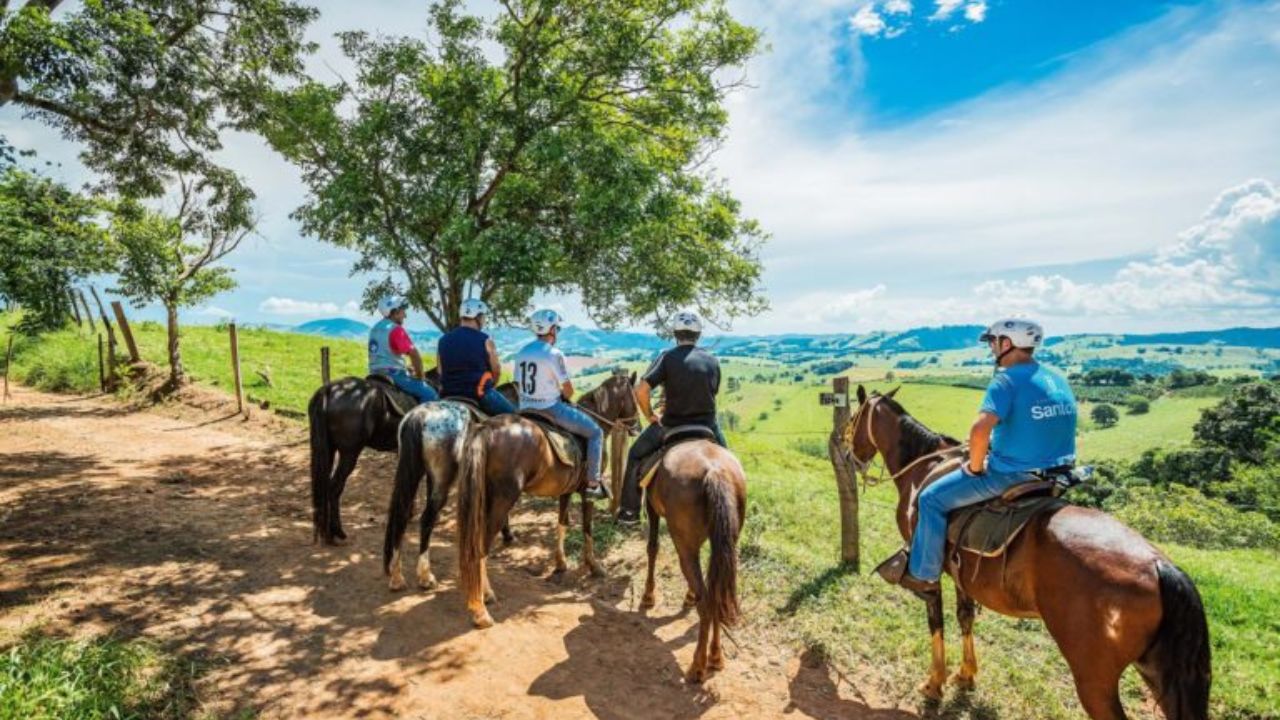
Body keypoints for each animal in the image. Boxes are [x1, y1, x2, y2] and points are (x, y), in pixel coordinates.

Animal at [378, 371, 640, 591]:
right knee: (432, 521)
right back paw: (438, 579)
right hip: (460, 483)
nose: (637, 426)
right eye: (634, 397)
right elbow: (587, 528)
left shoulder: (566, 490)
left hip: (425, 475)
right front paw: (594, 566)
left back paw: (398, 576)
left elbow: (562, 522)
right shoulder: (586, 491)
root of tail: (421, 415)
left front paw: (560, 563)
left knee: (403, 514)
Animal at [640, 435, 747, 681]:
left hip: (685, 545)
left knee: (706, 602)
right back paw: (716, 657)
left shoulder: (651, 506)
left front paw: (648, 596)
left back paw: (698, 666)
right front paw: (689, 596)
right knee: (715, 595)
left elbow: (652, 547)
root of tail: (715, 472)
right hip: (726, 543)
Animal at [849, 386, 1208, 717]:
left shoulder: (930, 567)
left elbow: (935, 619)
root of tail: (1159, 566)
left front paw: (934, 683)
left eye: (852, 419)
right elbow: (965, 617)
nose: (849, 454)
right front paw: (966, 675)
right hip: (1158, 671)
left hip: (1094, 678)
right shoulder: (962, 573)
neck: (922, 468)